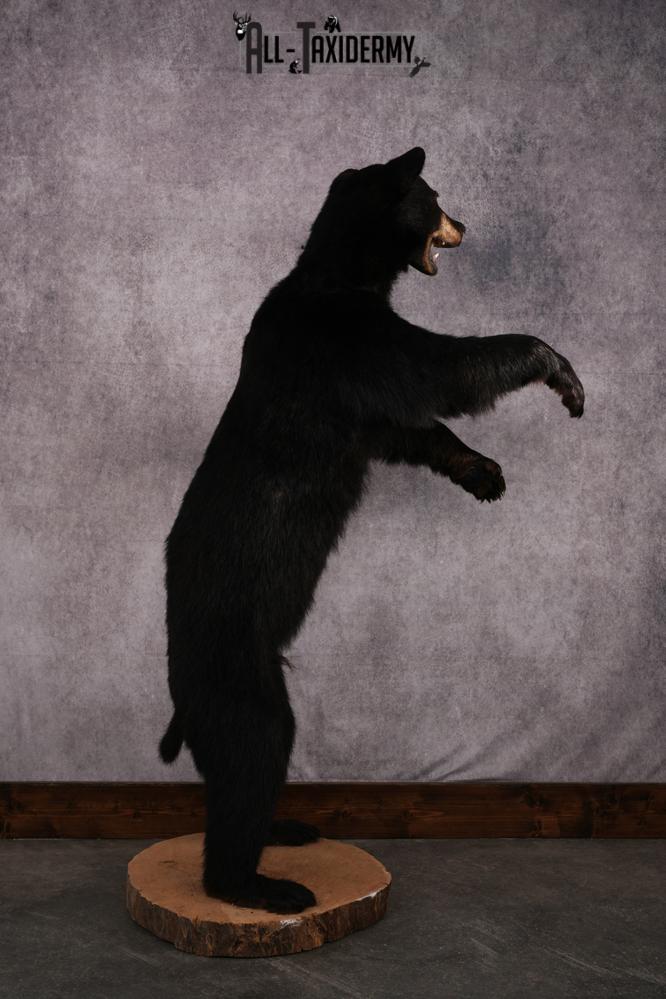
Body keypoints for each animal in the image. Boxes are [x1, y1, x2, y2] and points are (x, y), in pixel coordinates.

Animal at [159, 146, 584, 914]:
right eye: (435, 197)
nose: (466, 224)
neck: (343, 273)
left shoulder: (365, 396)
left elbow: (411, 427)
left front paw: (484, 473)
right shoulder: (349, 341)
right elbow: (437, 370)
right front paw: (558, 369)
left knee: (232, 779)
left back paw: (287, 830)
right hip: (238, 669)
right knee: (254, 748)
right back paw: (267, 885)